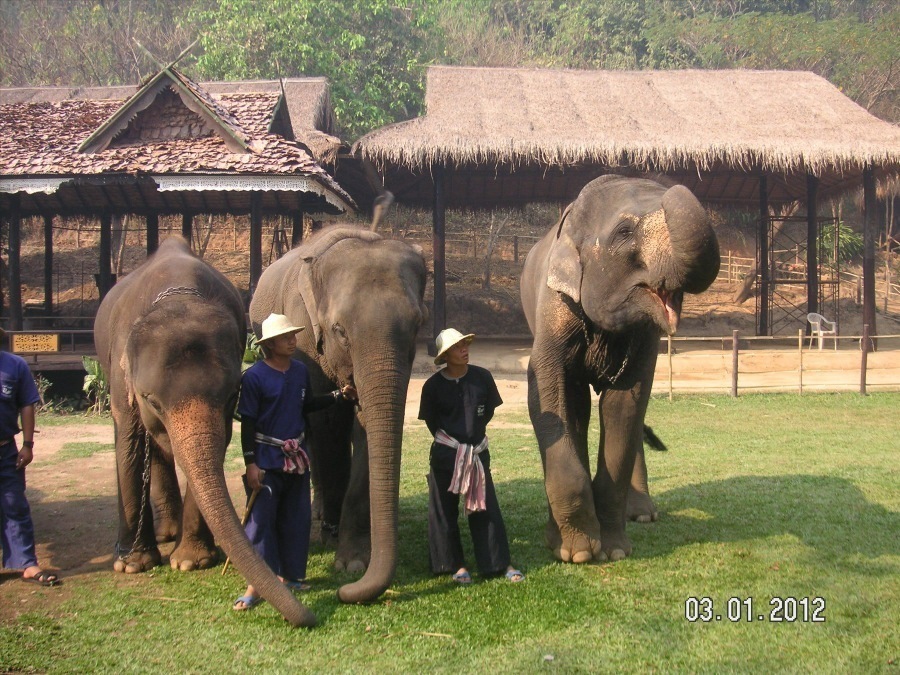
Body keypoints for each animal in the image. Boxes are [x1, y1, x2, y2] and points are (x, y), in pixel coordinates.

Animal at [96, 238, 314, 628]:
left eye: (230, 395)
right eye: (152, 400)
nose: (309, 616)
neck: (179, 296)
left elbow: (221, 440)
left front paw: (190, 562)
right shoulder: (121, 376)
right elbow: (129, 440)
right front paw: (133, 565)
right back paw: (162, 536)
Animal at [246, 224, 428, 604]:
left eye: (418, 324)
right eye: (339, 331)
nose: (345, 593)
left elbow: (366, 428)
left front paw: (354, 562)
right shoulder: (303, 336)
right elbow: (327, 424)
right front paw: (334, 544)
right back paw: (320, 520)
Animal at [520, 176, 716, 564]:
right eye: (624, 232)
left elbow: (624, 409)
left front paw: (614, 551)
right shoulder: (553, 309)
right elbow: (550, 398)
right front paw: (577, 552)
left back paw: (642, 514)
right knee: (578, 409)